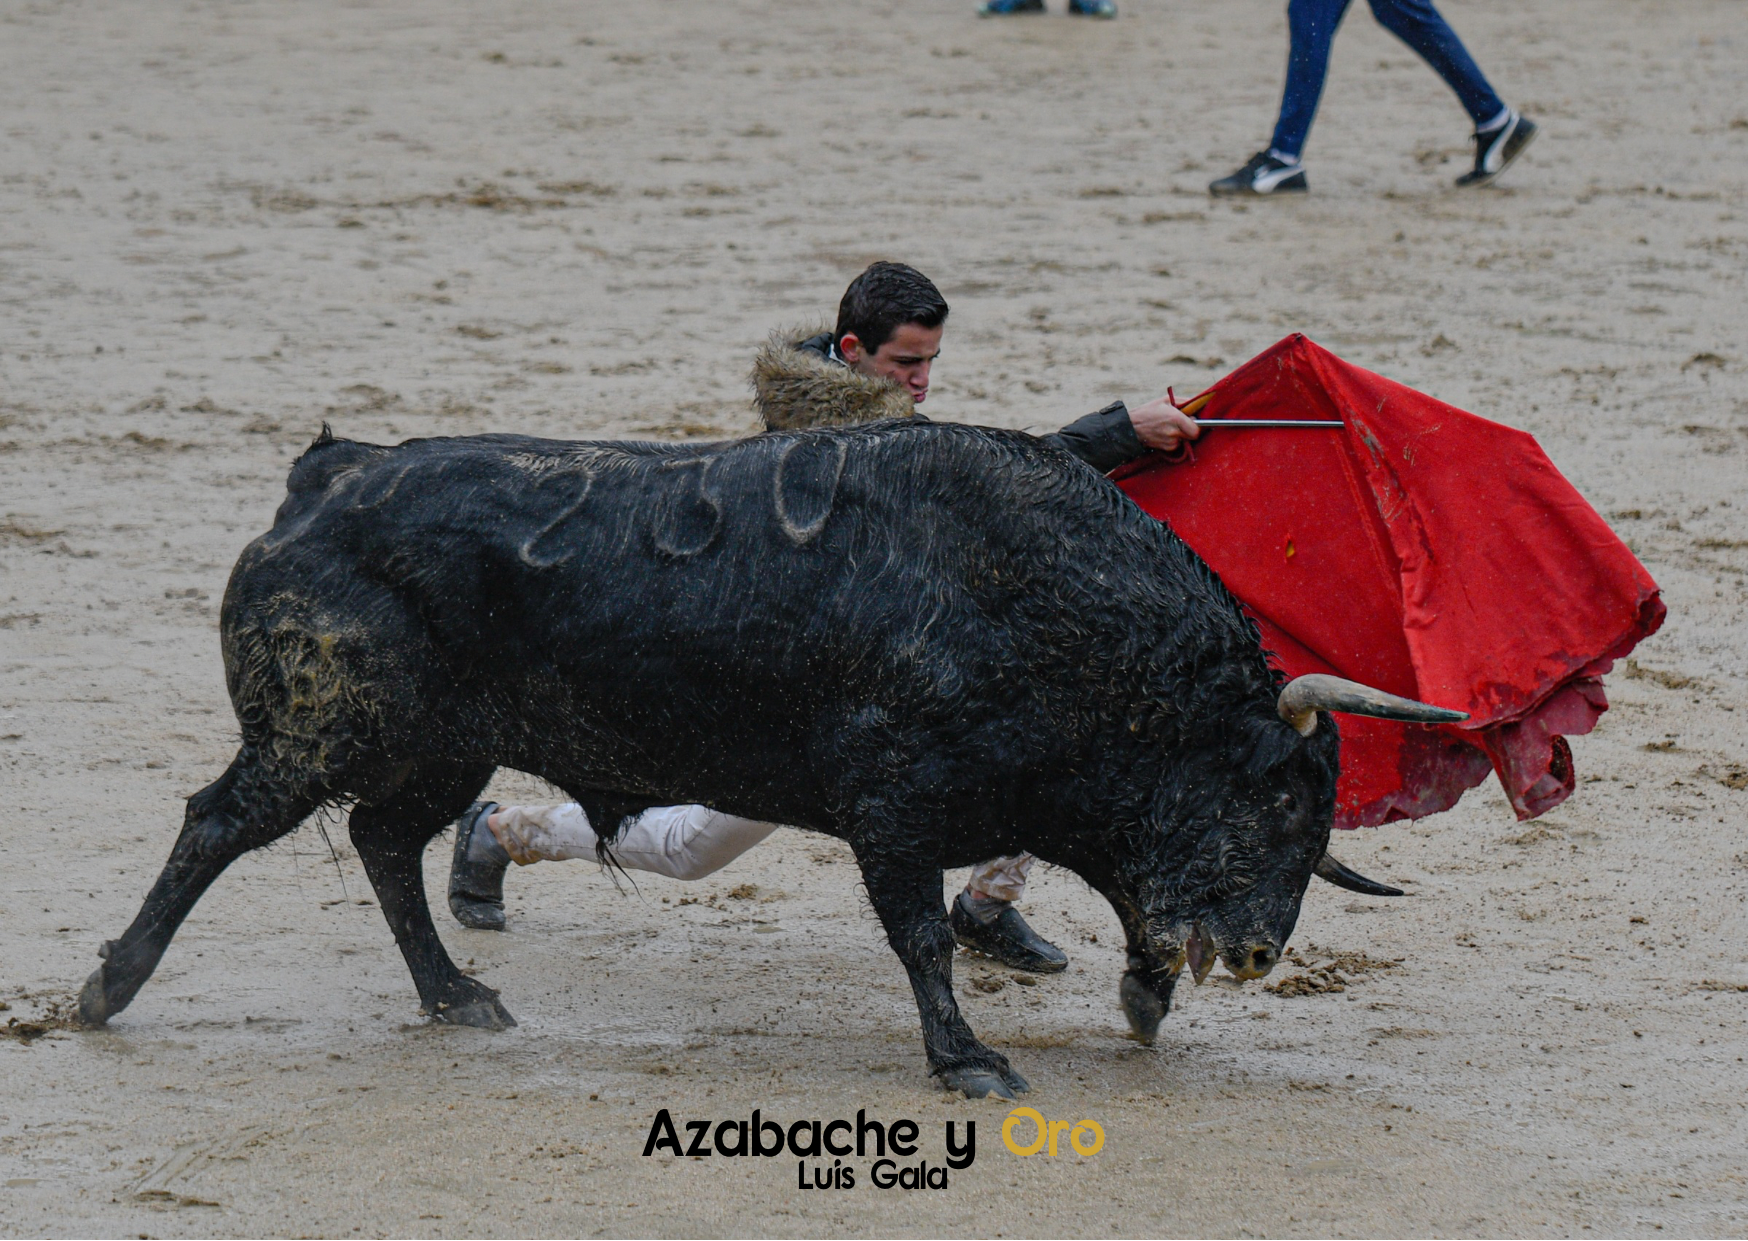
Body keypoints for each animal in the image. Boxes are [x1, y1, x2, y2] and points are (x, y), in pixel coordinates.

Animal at [79, 419, 1461, 1098]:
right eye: (1274, 793)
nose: (1261, 951)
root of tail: (324, 480)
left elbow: (1126, 904)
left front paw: (1139, 994)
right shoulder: (896, 808)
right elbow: (919, 934)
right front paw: (967, 1060)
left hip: (442, 751)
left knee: (382, 840)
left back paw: (455, 993)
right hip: (314, 733)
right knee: (216, 824)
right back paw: (105, 990)